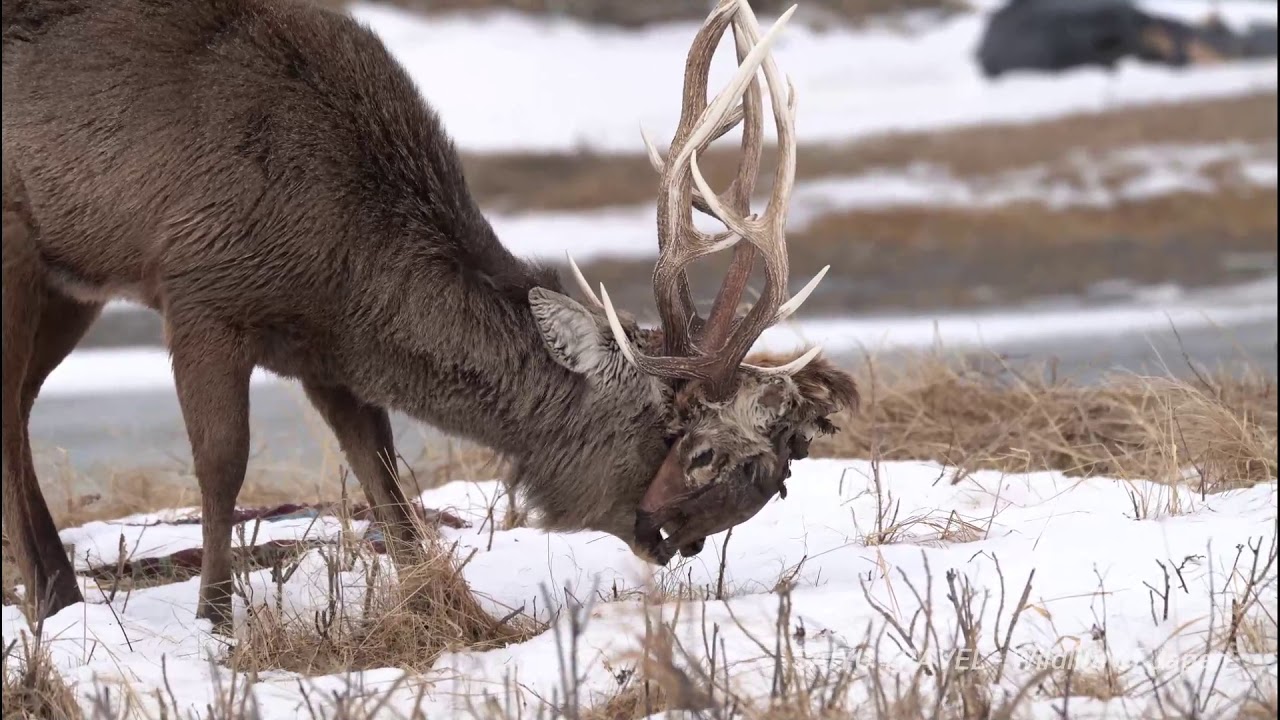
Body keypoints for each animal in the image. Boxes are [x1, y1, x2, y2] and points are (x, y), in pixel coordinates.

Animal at [2, 0, 857, 632]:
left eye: (775, 478)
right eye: (694, 446)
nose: (674, 539)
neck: (341, 264)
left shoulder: (330, 355)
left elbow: (384, 479)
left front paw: (455, 614)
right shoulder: (200, 289)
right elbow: (222, 466)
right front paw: (216, 623)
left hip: (71, 284)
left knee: (21, 404)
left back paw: (57, 591)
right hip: (22, 247)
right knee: (11, 406)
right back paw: (48, 591)